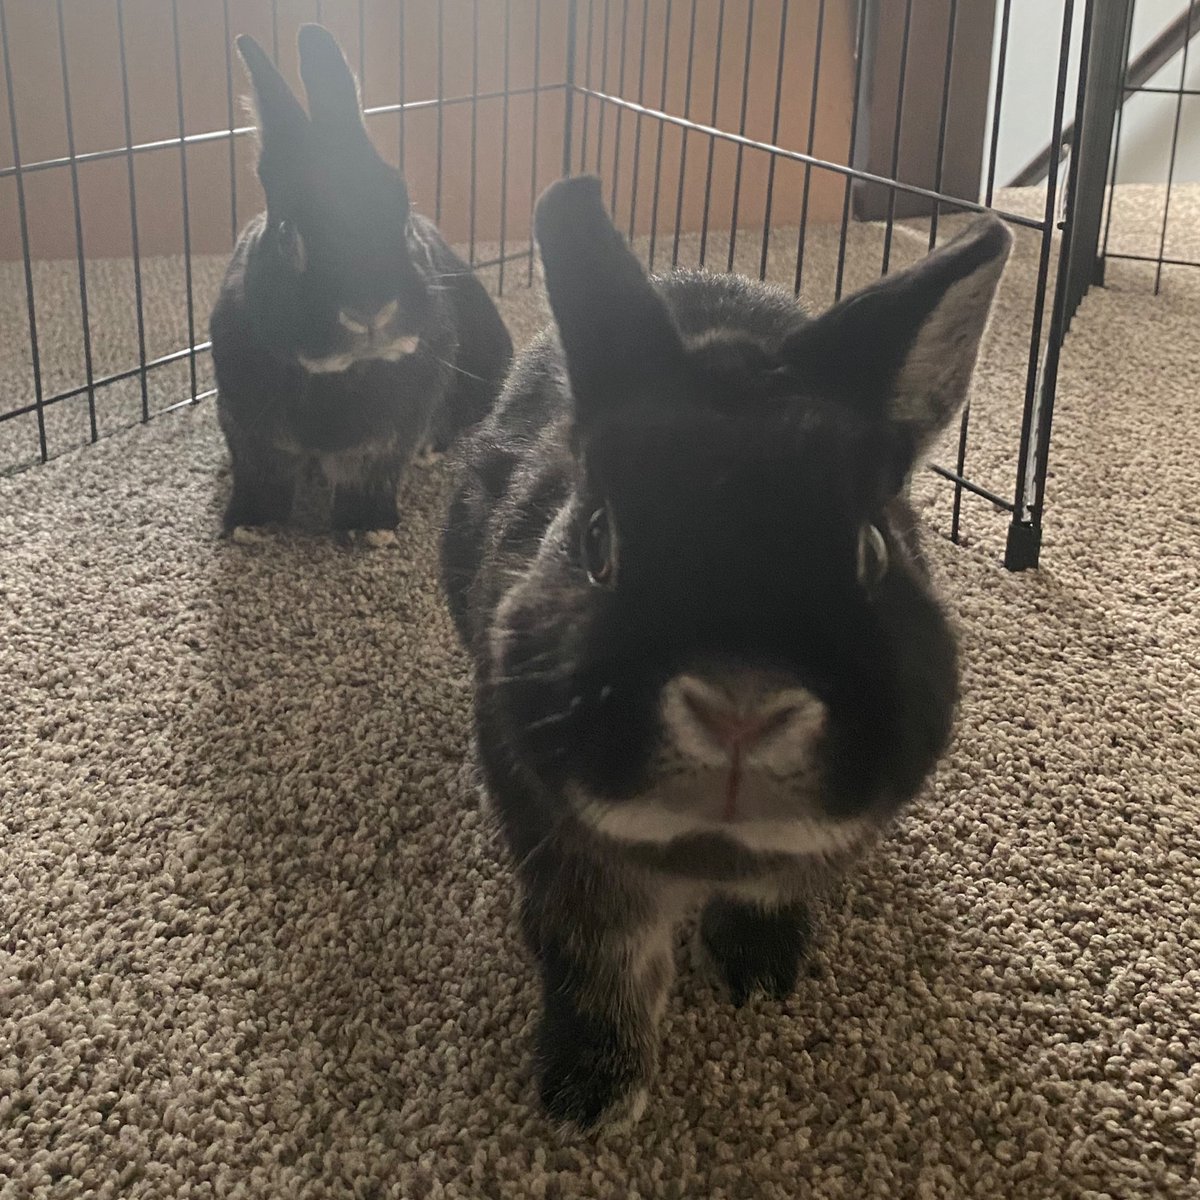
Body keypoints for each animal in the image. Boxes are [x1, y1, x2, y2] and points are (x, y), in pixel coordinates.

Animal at [210, 24, 512, 545]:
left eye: (403, 220)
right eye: (288, 235)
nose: (370, 311)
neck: (336, 375)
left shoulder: (390, 434)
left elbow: (368, 475)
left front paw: (367, 530)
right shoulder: (248, 429)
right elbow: (261, 476)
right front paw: (251, 526)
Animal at [441, 175, 1012, 1128]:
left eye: (872, 551)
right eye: (599, 543)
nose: (743, 706)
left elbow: (769, 892)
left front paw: (760, 973)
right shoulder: (559, 845)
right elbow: (602, 954)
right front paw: (589, 1094)